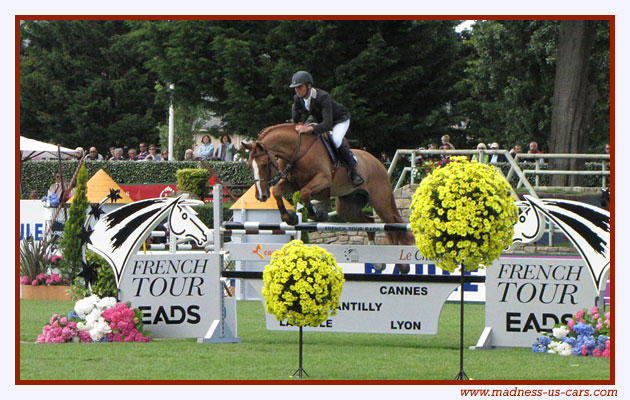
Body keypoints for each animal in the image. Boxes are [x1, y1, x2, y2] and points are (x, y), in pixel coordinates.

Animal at [242, 122, 414, 272]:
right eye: (250, 165)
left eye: (264, 164)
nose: (261, 196)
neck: (298, 151)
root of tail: (379, 163)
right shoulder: (292, 183)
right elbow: (278, 191)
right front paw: (290, 218)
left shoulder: (323, 180)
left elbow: (305, 193)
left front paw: (318, 215)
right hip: (347, 207)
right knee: (369, 222)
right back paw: (378, 263)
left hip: (380, 202)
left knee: (392, 226)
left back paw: (402, 265)